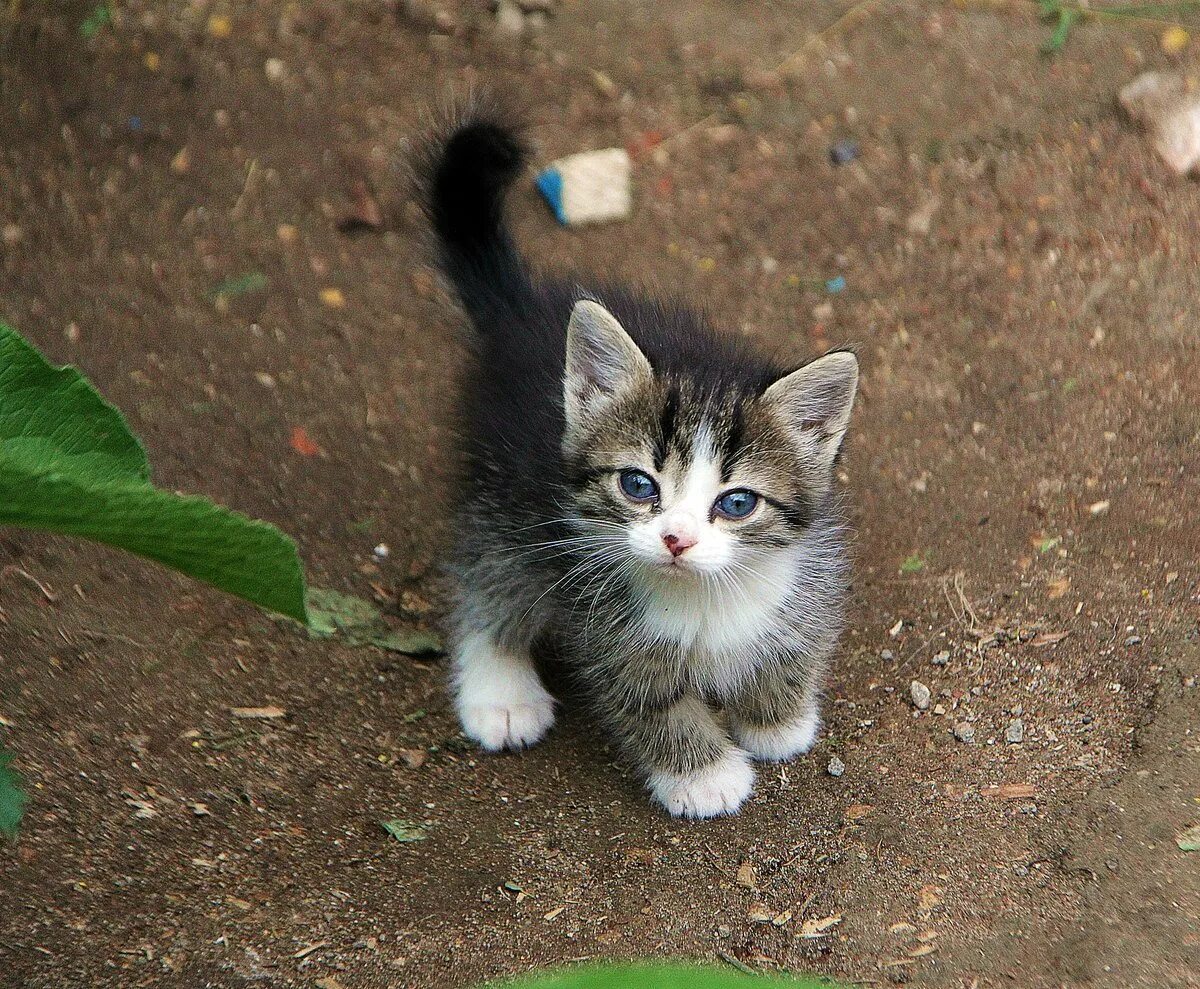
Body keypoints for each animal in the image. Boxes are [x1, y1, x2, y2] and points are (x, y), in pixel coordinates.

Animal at [417, 108, 859, 820]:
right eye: (637, 485)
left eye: (737, 502)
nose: (676, 539)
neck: (704, 596)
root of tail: (522, 313)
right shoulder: (606, 626)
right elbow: (649, 700)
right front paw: (704, 775)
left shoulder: (804, 573)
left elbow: (796, 641)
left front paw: (777, 718)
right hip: (504, 491)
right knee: (484, 573)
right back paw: (499, 688)